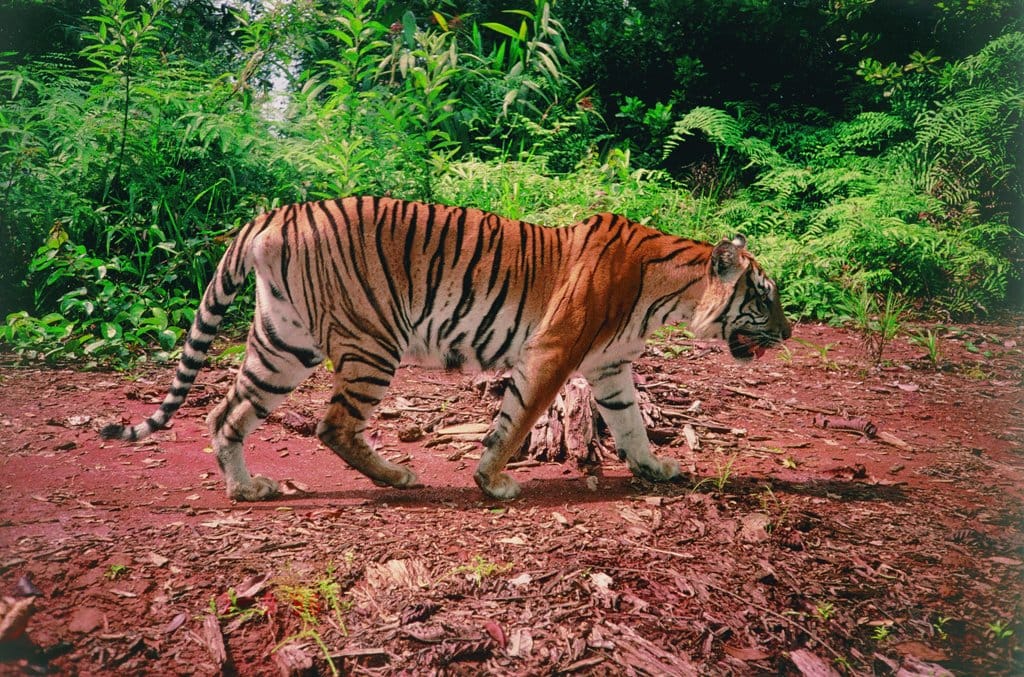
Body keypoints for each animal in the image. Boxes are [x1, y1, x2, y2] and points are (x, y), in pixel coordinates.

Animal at [102, 196, 791, 501]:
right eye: (764, 297)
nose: (787, 334)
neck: (670, 290)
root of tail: (277, 215)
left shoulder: (611, 368)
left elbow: (630, 428)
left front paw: (656, 469)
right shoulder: (554, 352)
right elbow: (516, 420)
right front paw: (493, 481)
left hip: (283, 345)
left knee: (226, 413)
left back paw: (247, 489)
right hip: (371, 340)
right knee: (333, 424)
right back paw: (397, 477)